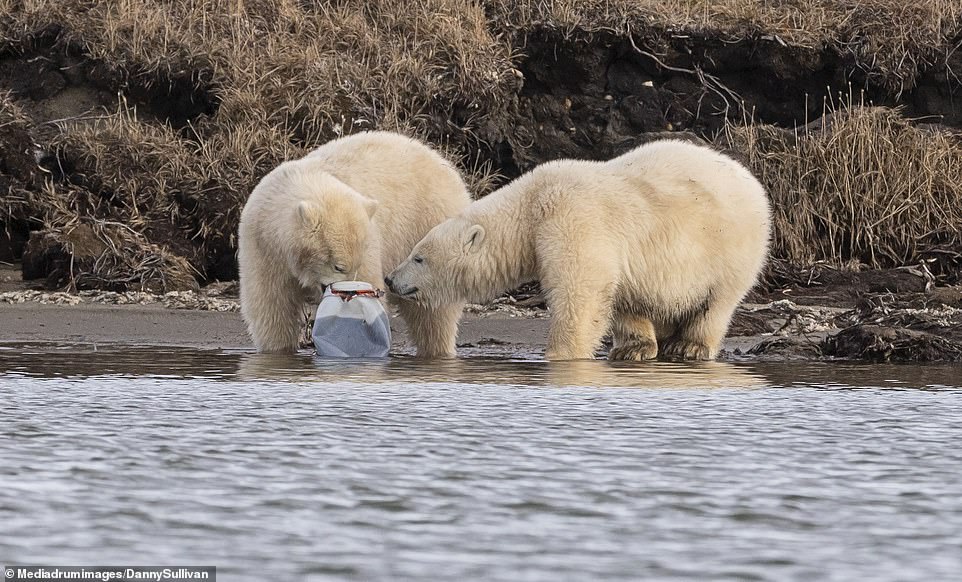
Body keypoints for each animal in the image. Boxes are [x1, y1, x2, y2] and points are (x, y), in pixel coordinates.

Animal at [236, 131, 468, 356]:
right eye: (338, 266)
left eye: (355, 266)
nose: (349, 292)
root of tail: (451, 171)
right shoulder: (263, 246)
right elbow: (271, 306)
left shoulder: (370, 240)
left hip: (425, 229)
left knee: (433, 314)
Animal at [386, 140, 768, 360]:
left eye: (418, 256)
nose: (390, 279)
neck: (532, 205)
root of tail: (750, 179)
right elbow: (609, 290)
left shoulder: (573, 219)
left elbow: (579, 290)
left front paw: (560, 355)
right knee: (637, 299)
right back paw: (635, 348)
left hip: (731, 246)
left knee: (717, 301)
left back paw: (690, 346)